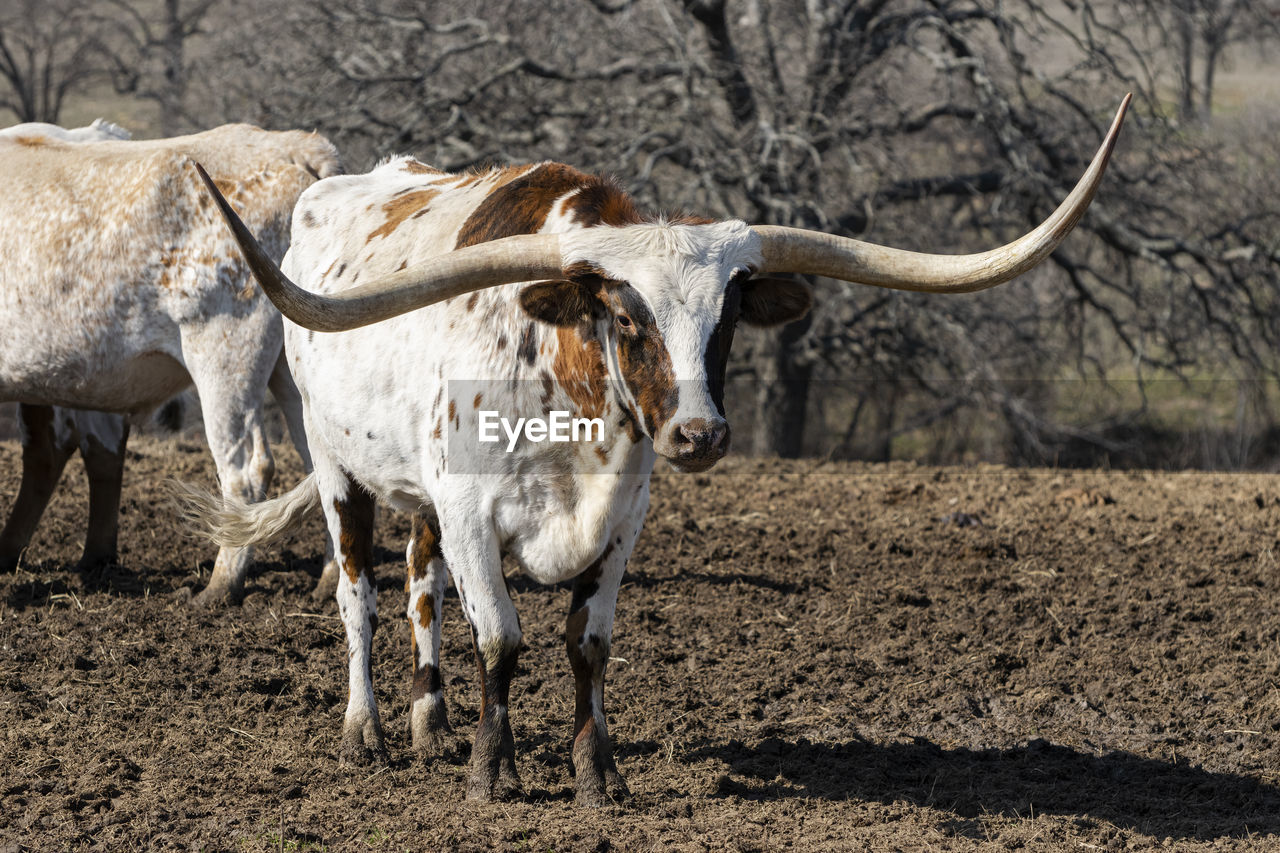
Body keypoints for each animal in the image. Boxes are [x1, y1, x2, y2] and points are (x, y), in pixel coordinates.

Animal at [0, 121, 340, 604]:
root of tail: (291, 145)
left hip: (223, 351)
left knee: (245, 469)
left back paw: (219, 587)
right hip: (293, 369)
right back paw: (329, 579)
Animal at [183, 99, 1131, 799]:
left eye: (730, 318)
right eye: (626, 316)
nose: (698, 432)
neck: (573, 417)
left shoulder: (620, 520)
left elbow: (586, 644)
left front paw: (596, 774)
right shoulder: (473, 512)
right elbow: (502, 637)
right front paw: (496, 772)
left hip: (423, 496)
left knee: (421, 589)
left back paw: (430, 721)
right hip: (338, 465)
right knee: (361, 597)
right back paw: (366, 731)